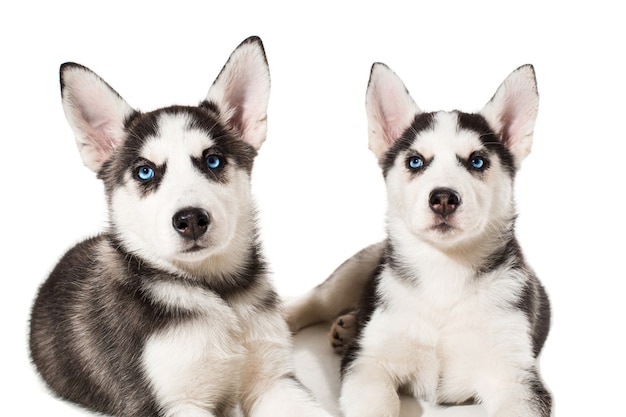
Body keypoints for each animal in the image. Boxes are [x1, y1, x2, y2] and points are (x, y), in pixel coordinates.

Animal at [28, 35, 332, 416]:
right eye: (145, 171)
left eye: (213, 161)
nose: (190, 220)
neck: (216, 294)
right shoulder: (168, 401)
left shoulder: (275, 379)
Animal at [286, 63, 548, 416]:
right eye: (415, 161)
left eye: (477, 161)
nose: (443, 198)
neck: (445, 270)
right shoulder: (368, 363)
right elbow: (377, 401)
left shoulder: (517, 378)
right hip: (363, 264)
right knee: (318, 298)